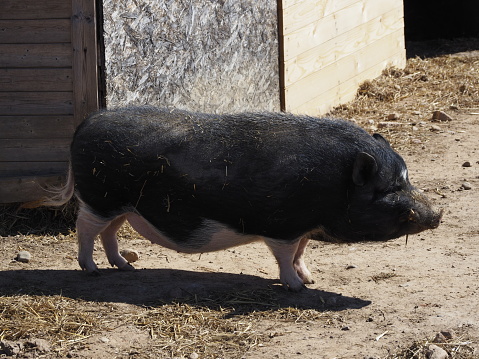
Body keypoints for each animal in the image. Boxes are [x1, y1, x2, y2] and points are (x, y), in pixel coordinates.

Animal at [35, 107, 444, 292]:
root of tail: (87, 123)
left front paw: (310, 279)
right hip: (99, 198)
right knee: (85, 229)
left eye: (407, 178)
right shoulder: (281, 224)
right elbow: (284, 256)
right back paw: (91, 271)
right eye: (388, 189)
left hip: (123, 206)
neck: (330, 183)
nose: (438, 212)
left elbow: (300, 253)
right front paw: (296, 288)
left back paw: (125, 268)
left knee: (110, 233)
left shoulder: (302, 227)